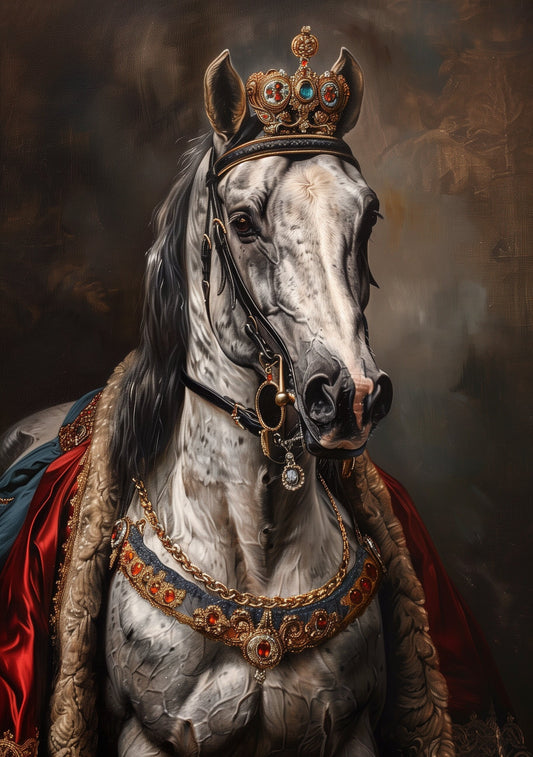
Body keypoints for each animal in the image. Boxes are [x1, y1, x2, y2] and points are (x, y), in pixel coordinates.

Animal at [0, 29, 457, 757]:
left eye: (369, 217)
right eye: (242, 221)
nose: (351, 396)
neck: (255, 552)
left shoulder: (351, 732)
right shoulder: (146, 738)